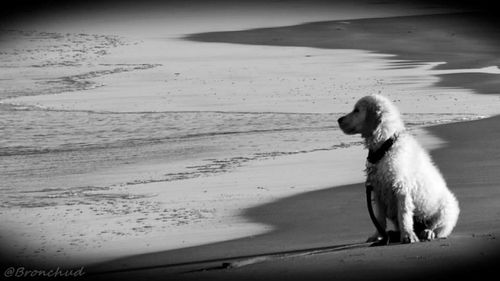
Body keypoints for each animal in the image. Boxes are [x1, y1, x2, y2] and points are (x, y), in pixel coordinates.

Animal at [338, 94, 458, 243]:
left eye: (357, 110)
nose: (339, 120)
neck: (385, 146)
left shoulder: (401, 188)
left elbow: (404, 214)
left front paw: (407, 235)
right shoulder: (378, 190)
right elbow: (379, 218)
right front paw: (378, 235)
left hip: (447, 209)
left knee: (439, 228)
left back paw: (427, 232)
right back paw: (394, 234)